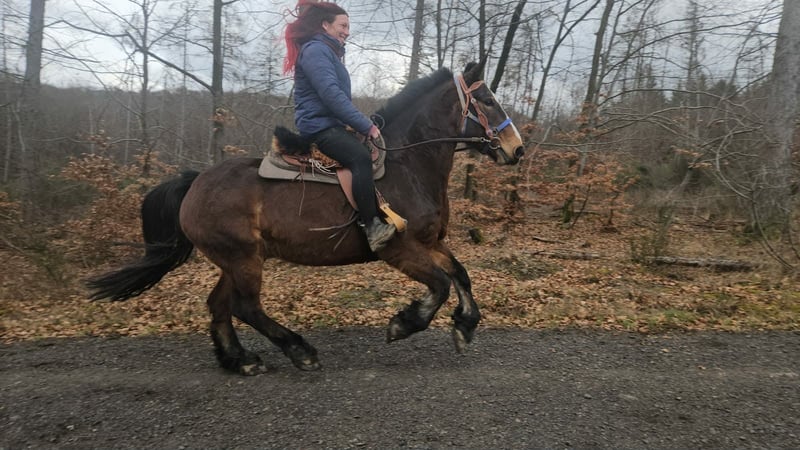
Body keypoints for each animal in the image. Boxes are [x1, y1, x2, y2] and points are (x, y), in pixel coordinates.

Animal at [87, 61, 525, 375]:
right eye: (487, 100)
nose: (517, 149)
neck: (409, 164)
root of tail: (195, 182)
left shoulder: (430, 242)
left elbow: (460, 274)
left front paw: (465, 326)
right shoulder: (399, 250)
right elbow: (440, 284)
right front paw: (404, 322)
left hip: (235, 259)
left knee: (220, 305)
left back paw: (239, 360)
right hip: (243, 258)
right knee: (246, 307)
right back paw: (299, 351)